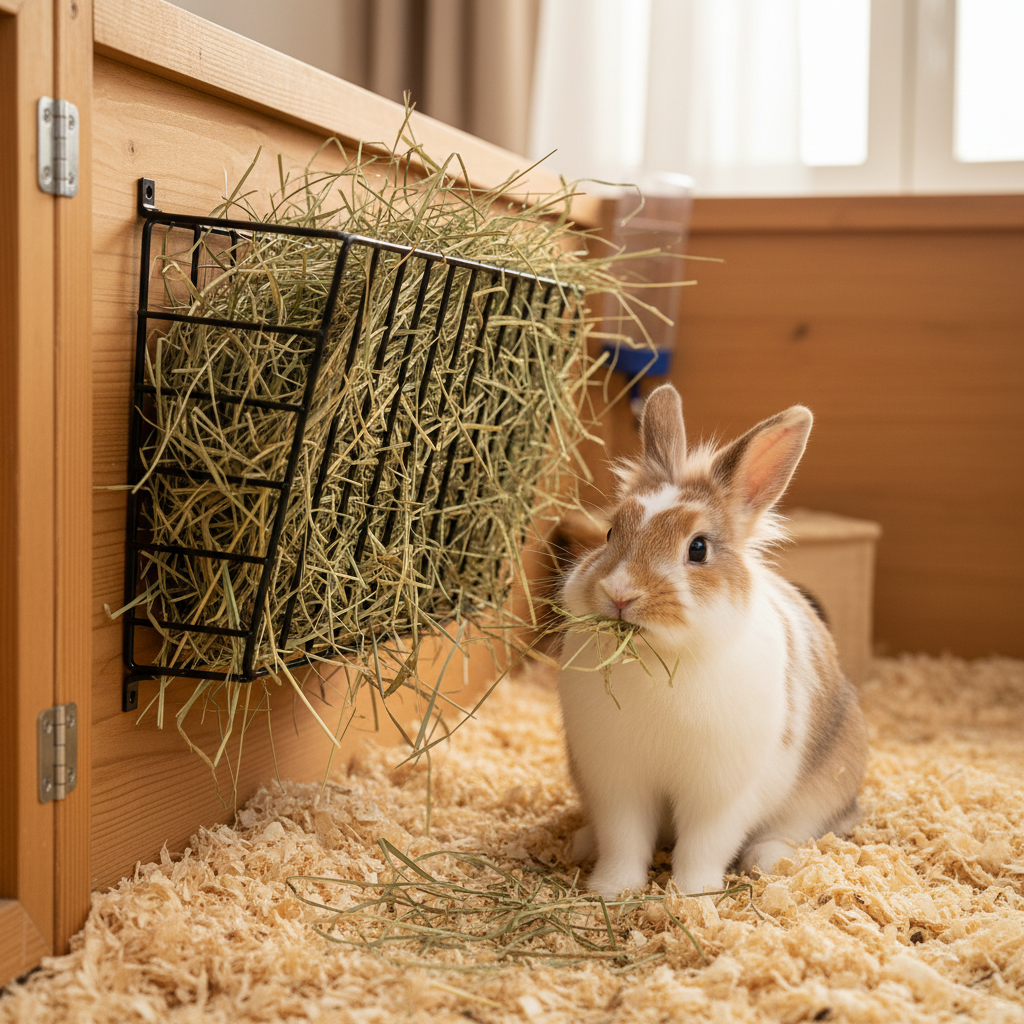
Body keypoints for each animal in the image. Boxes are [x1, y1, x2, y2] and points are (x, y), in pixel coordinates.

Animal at [557, 384, 868, 898]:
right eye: (609, 532)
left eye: (698, 548)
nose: (620, 594)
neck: (660, 658)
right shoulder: (616, 784)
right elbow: (624, 842)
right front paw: (610, 891)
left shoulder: (721, 794)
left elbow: (703, 846)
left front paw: (692, 896)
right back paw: (580, 843)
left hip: (824, 787)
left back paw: (768, 859)